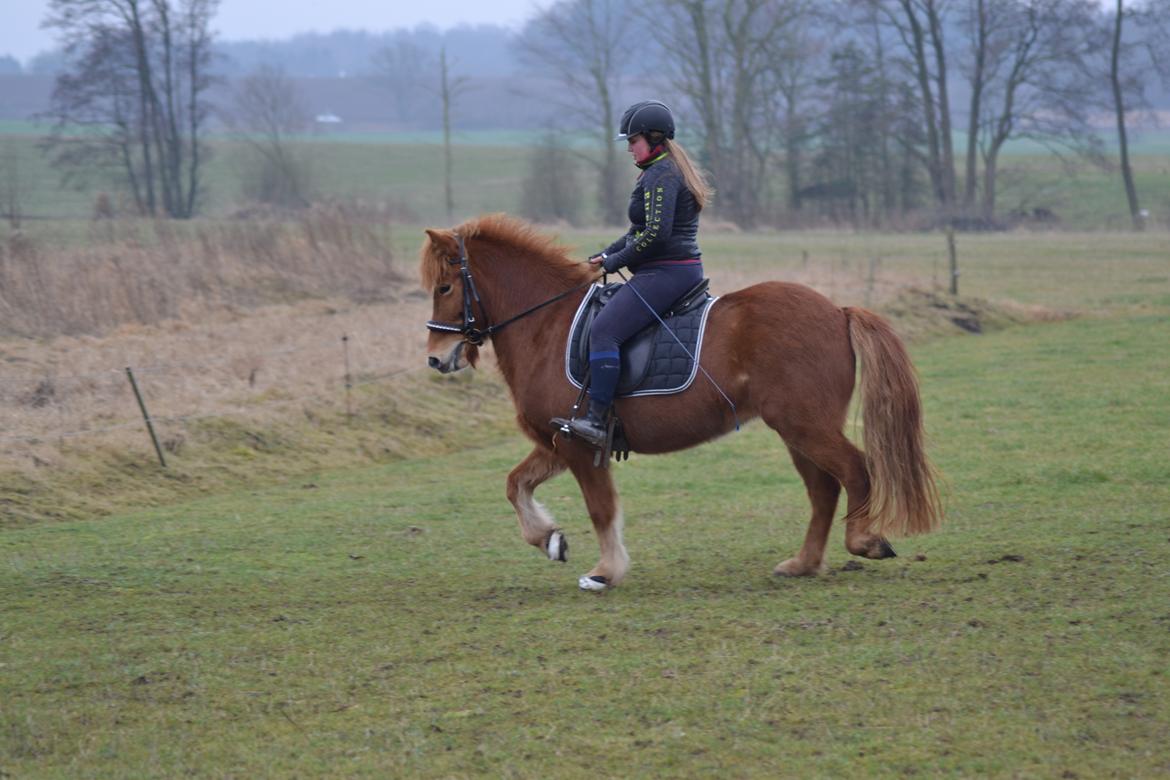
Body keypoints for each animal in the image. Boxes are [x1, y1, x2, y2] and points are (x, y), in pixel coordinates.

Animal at [421, 214, 940, 591]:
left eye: (445, 287)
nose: (436, 358)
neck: (545, 325)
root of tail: (837, 311)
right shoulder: (557, 440)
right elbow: (515, 485)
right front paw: (550, 540)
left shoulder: (579, 444)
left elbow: (600, 508)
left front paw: (605, 572)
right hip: (798, 430)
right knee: (823, 489)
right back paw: (804, 563)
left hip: (805, 425)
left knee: (854, 469)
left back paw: (864, 541)